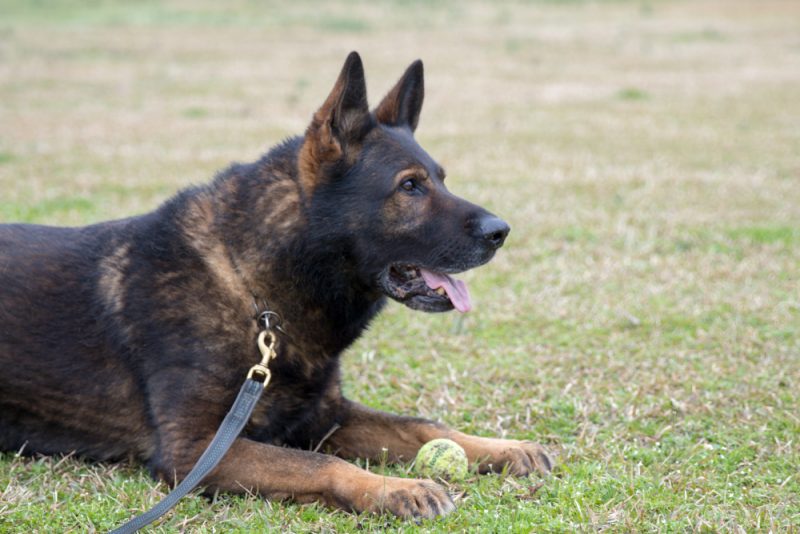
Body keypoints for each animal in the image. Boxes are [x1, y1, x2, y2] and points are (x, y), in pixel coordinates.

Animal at [0, 52, 552, 520]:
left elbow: (422, 426)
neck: (254, 292)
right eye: (410, 186)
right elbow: (319, 464)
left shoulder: (325, 417)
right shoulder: (195, 449)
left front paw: (501, 448)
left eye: (440, 179)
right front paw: (395, 488)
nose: (501, 232)